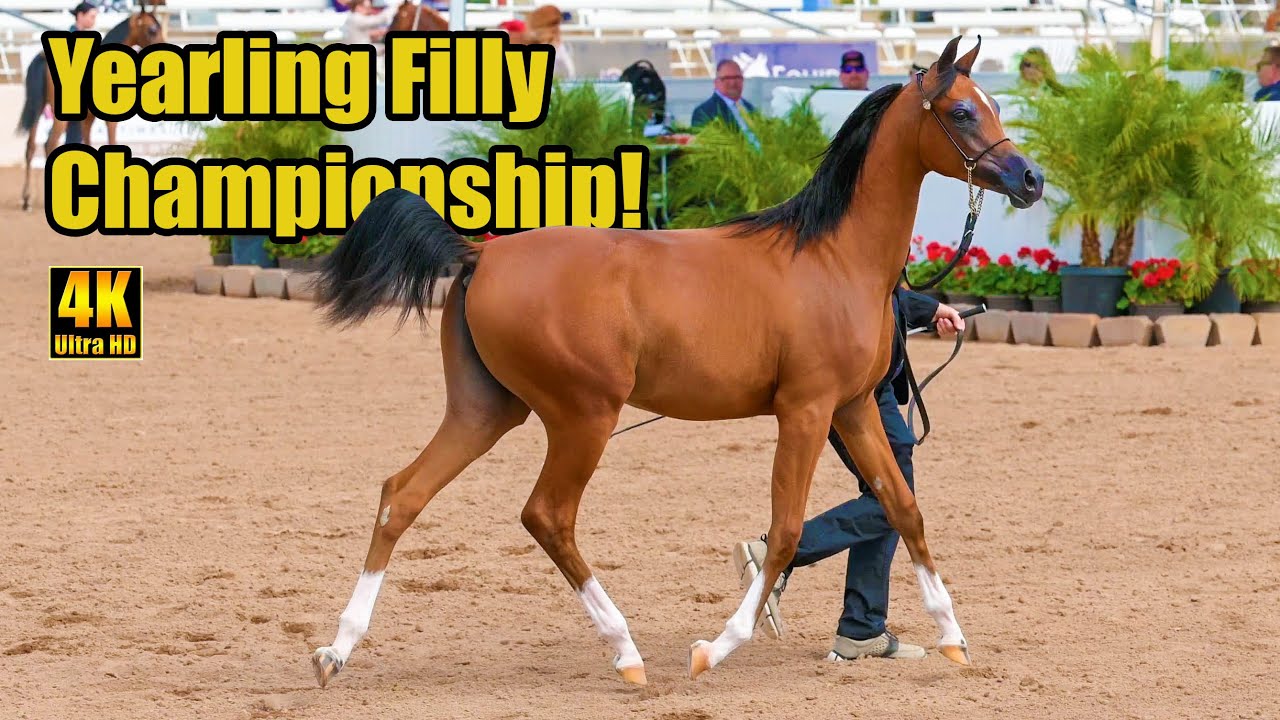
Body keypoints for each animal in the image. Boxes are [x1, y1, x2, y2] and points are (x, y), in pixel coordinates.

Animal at [16, 6, 166, 211]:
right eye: (152, 29)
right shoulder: (110, 119)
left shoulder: (87, 120)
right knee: (49, 143)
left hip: (37, 110)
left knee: (30, 147)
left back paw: (27, 199)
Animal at [307, 35, 1044, 689]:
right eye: (962, 111)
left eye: (992, 104)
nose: (1030, 179)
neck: (834, 259)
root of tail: (480, 254)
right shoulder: (804, 411)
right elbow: (784, 530)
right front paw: (714, 649)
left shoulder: (855, 408)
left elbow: (901, 506)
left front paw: (953, 639)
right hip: (583, 417)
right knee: (547, 515)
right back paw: (626, 651)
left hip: (486, 410)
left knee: (401, 496)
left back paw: (337, 651)